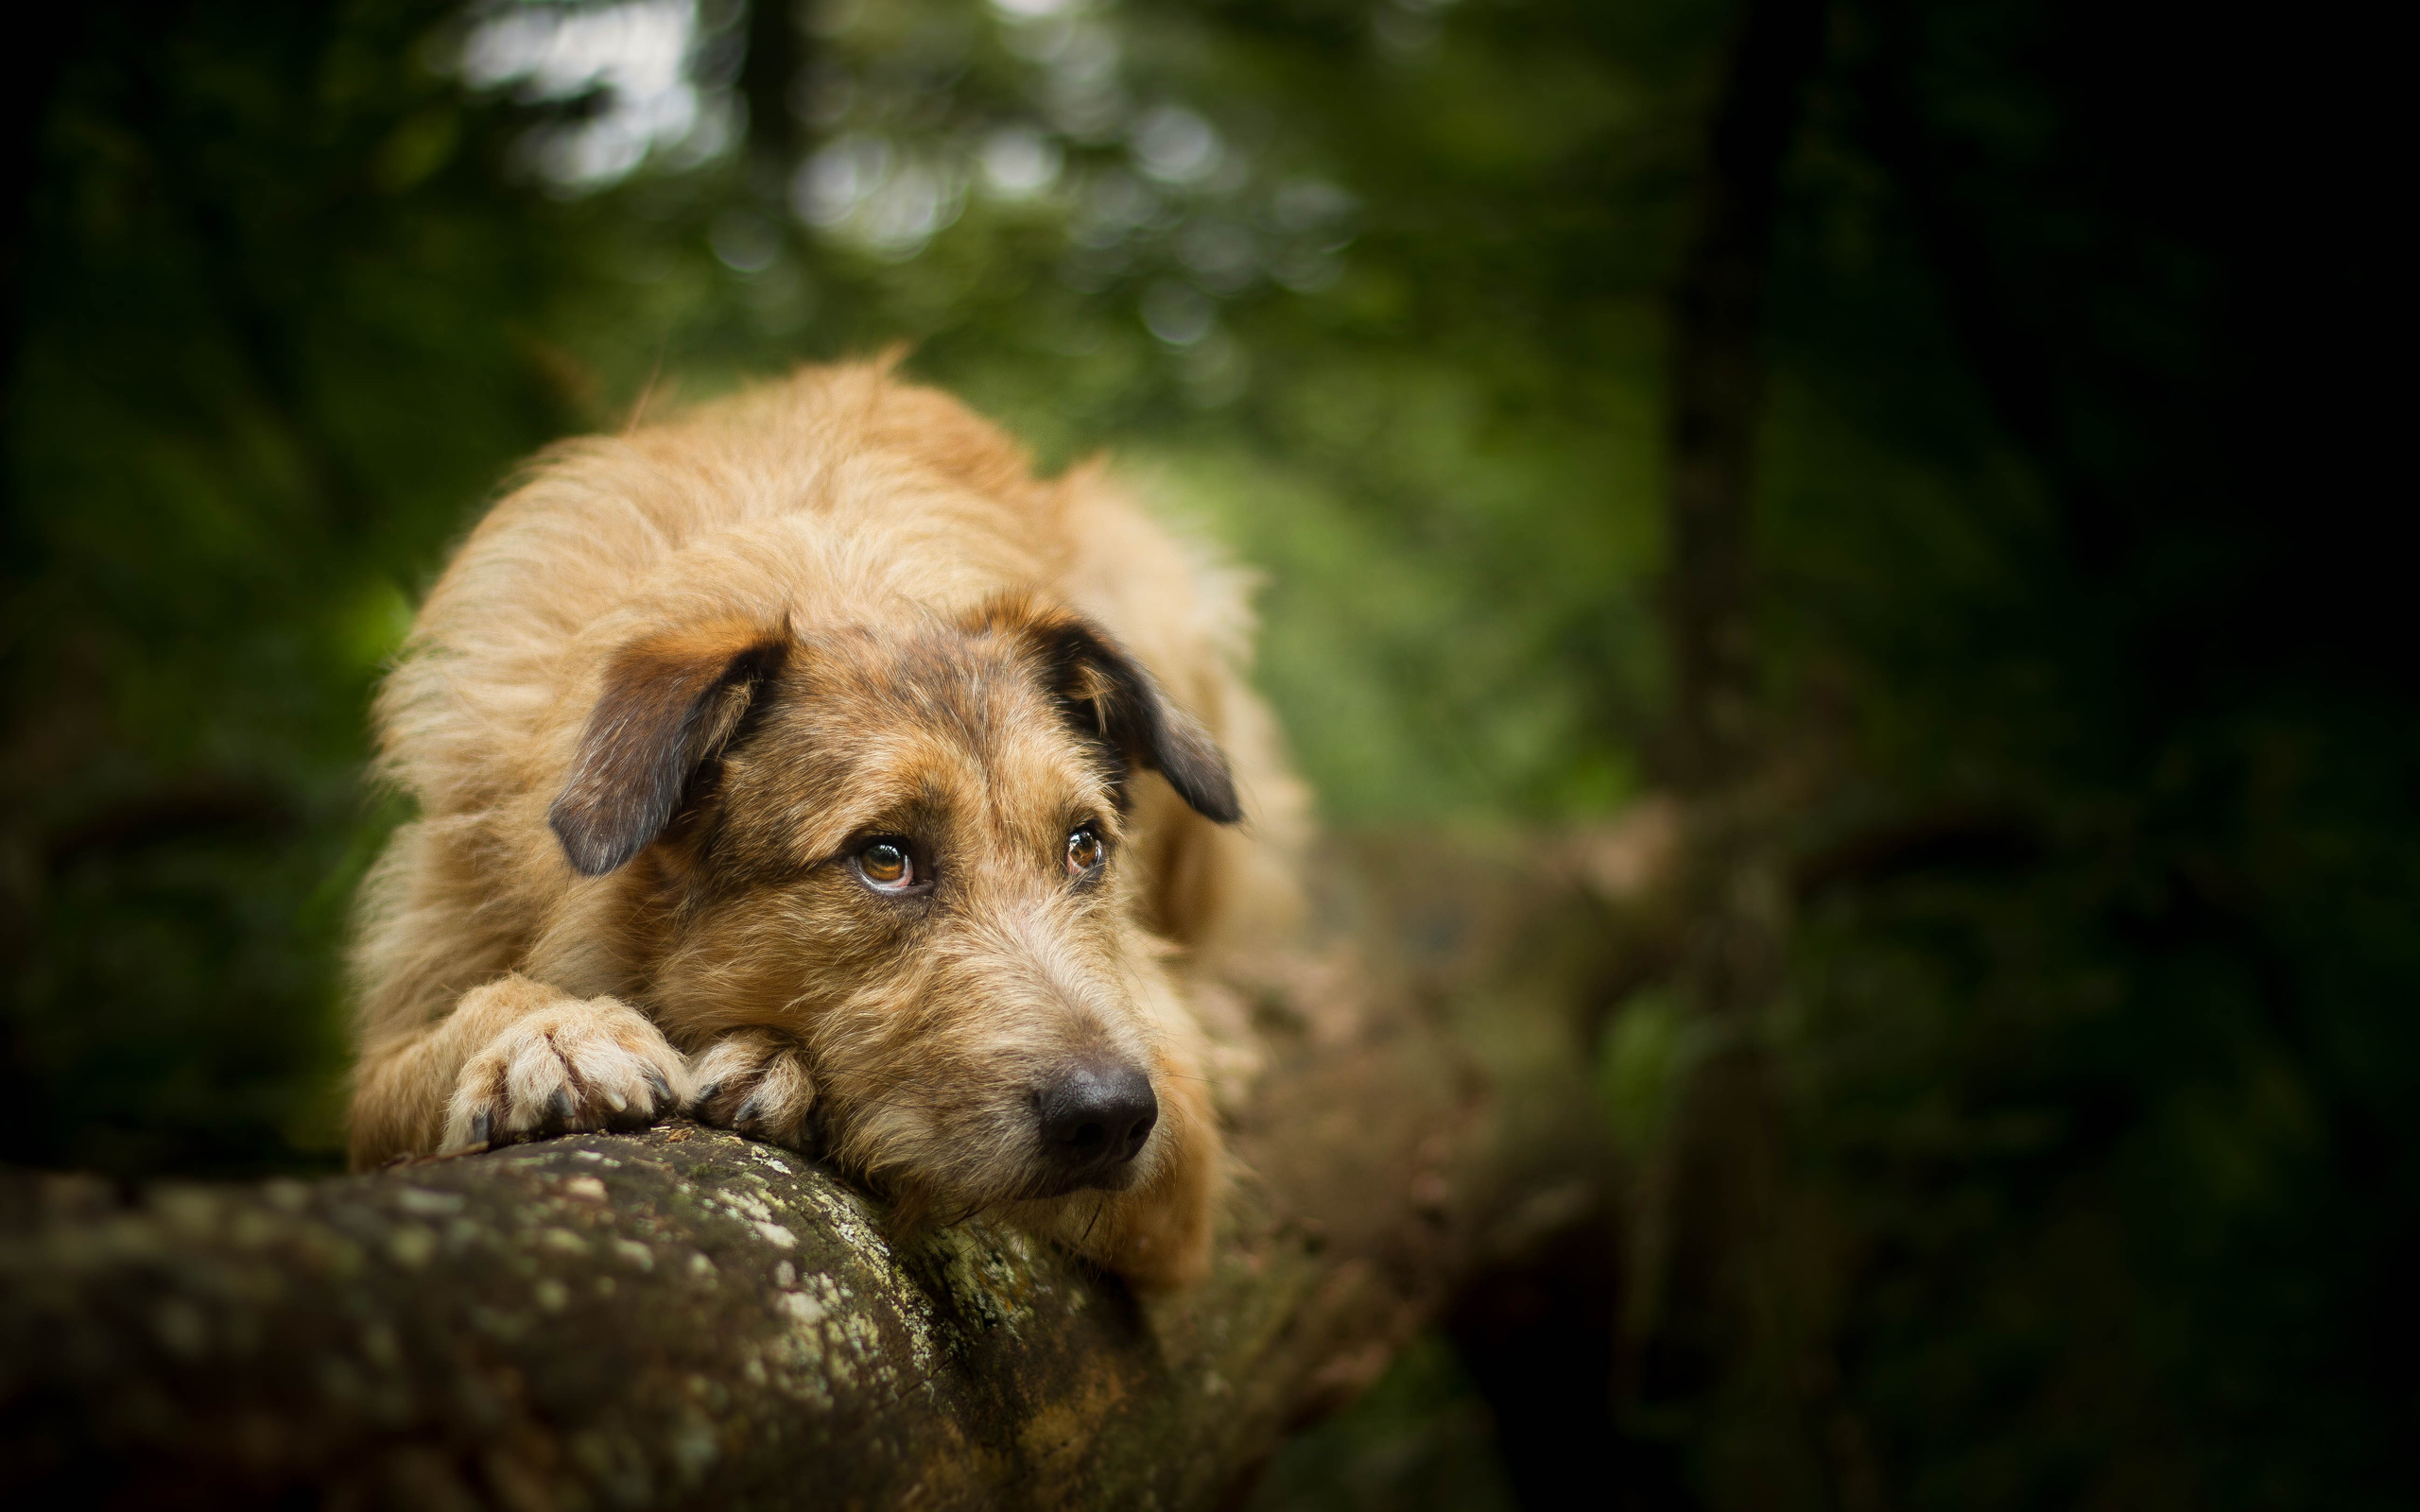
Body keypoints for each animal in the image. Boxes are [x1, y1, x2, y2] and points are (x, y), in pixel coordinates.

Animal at [348, 355, 1297, 1286]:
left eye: (1084, 846)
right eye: (884, 858)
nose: (1108, 1117)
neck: (835, 582)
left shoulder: (1176, 1141)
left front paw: (778, 1063)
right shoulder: (398, 1028)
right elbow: (433, 1044)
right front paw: (553, 1033)